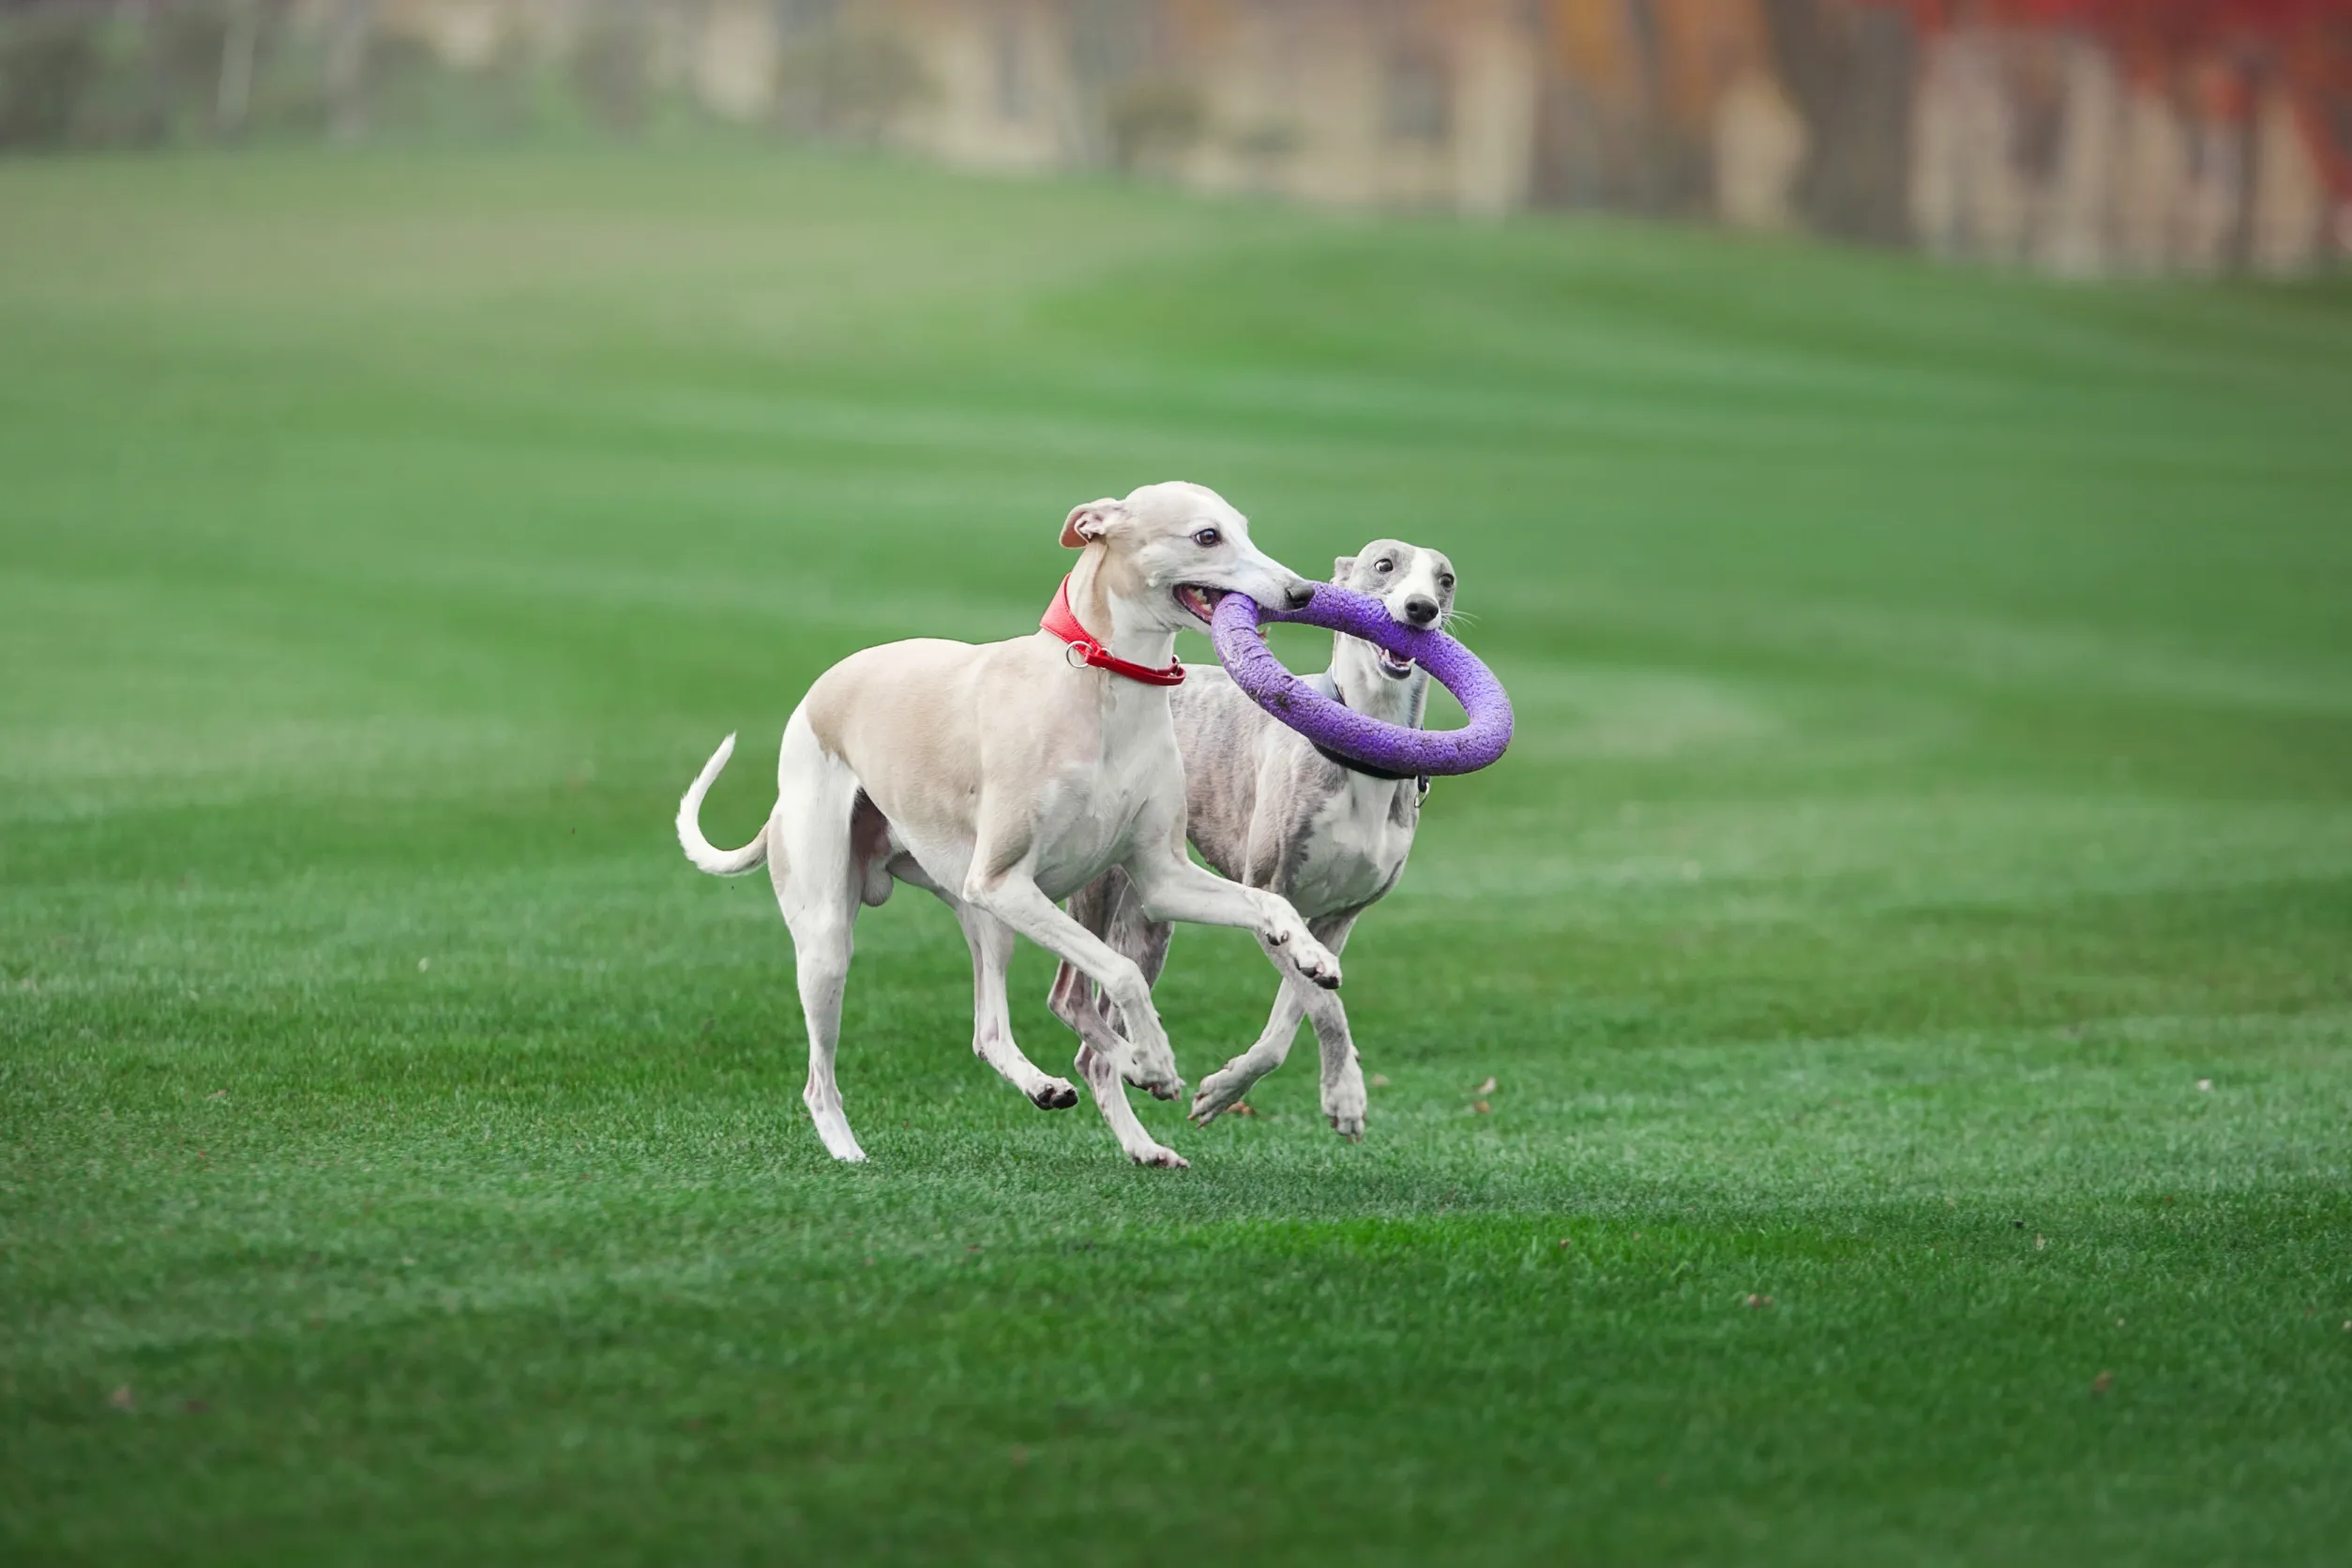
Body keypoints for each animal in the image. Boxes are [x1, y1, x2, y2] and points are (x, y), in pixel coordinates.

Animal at [677, 479, 1345, 1166]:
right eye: (1206, 536)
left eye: (1244, 529)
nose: (1301, 592)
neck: (1101, 683)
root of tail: (817, 693)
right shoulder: (1006, 881)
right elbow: (1124, 973)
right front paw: (1156, 1058)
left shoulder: (1161, 877)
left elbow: (1269, 905)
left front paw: (1312, 954)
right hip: (834, 935)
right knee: (820, 1076)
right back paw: (848, 1151)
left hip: (986, 917)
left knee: (989, 1031)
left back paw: (1072, 1097)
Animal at [1048, 543, 1448, 1142]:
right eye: (1384, 565)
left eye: (1446, 578)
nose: (1422, 609)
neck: (1363, 754)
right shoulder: (1269, 891)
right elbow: (1323, 1007)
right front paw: (1348, 1093)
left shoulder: (1336, 921)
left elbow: (1296, 1013)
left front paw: (1230, 1088)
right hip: (1101, 890)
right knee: (1077, 1013)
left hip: (1148, 923)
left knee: (1094, 1054)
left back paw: (1145, 1139)